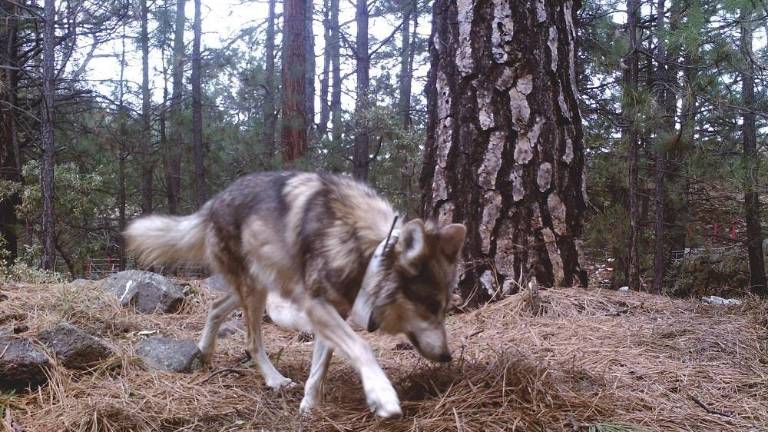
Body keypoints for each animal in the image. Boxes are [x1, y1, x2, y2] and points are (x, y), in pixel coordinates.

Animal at [124, 171, 466, 418]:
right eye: (431, 306)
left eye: (445, 309)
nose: (448, 357)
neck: (365, 252)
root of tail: (213, 203)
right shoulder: (316, 306)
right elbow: (362, 347)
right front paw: (381, 397)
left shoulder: (333, 313)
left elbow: (320, 367)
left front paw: (309, 407)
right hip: (256, 291)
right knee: (251, 341)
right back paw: (274, 379)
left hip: (260, 286)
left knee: (216, 307)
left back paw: (204, 352)